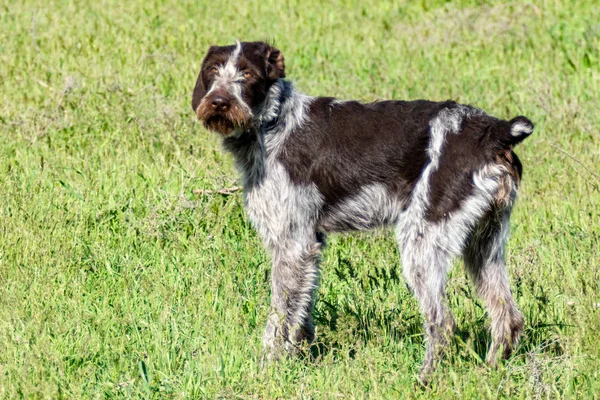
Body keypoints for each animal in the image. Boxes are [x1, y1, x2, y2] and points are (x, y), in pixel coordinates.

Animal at [192, 41, 536, 384]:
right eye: (213, 70)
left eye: (247, 73)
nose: (219, 102)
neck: (273, 122)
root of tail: (495, 131)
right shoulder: (309, 246)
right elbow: (302, 313)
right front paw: (301, 361)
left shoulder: (292, 245)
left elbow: (280, 319)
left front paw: (268, 370)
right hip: (484, 245)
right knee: (508, 316)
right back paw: (490, 371)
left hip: (422, 242)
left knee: (442, 322)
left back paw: (423, 380)